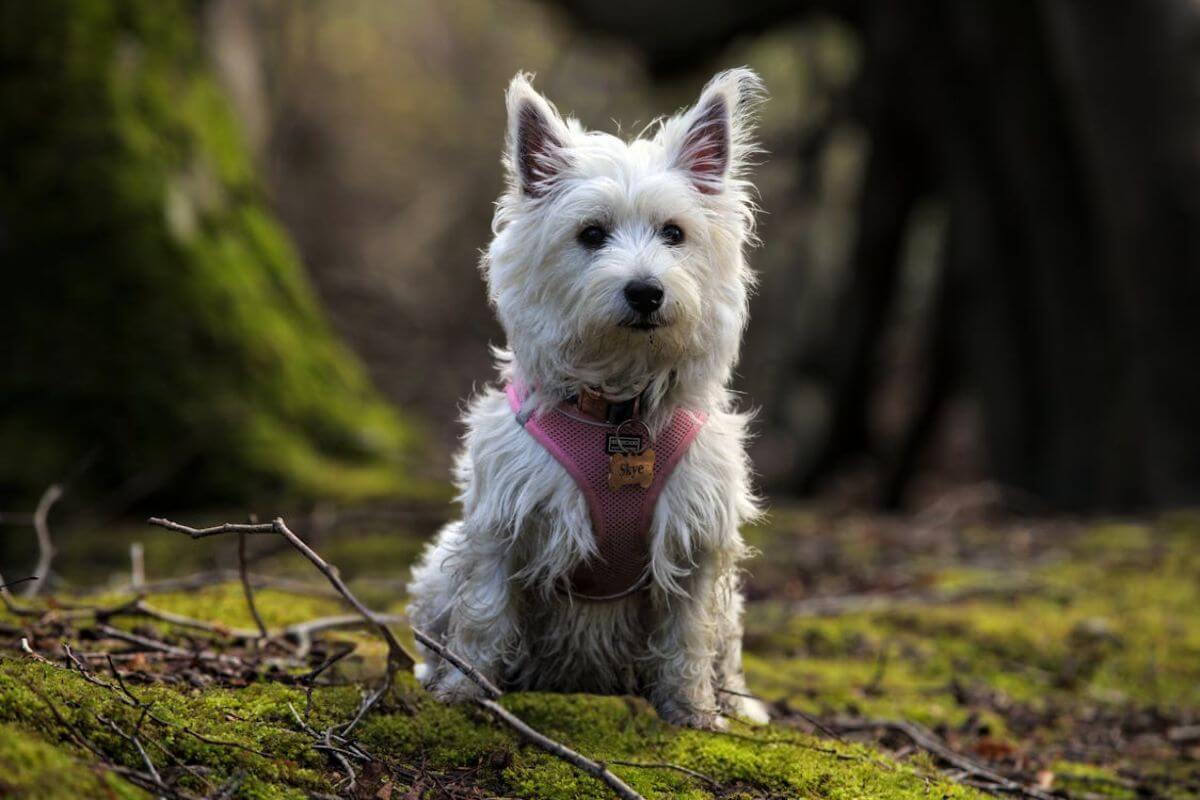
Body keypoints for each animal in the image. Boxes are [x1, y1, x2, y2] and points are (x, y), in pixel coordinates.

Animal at [408, 68, 768, 734]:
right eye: (591, 234)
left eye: (674, 233)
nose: (646, 291)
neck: (618, 412)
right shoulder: (504, 523)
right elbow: (485, 613)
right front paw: (464, 694)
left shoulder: (695, 537)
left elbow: (689, 636)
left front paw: (694, 714)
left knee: (725, 646)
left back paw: (738, 703)